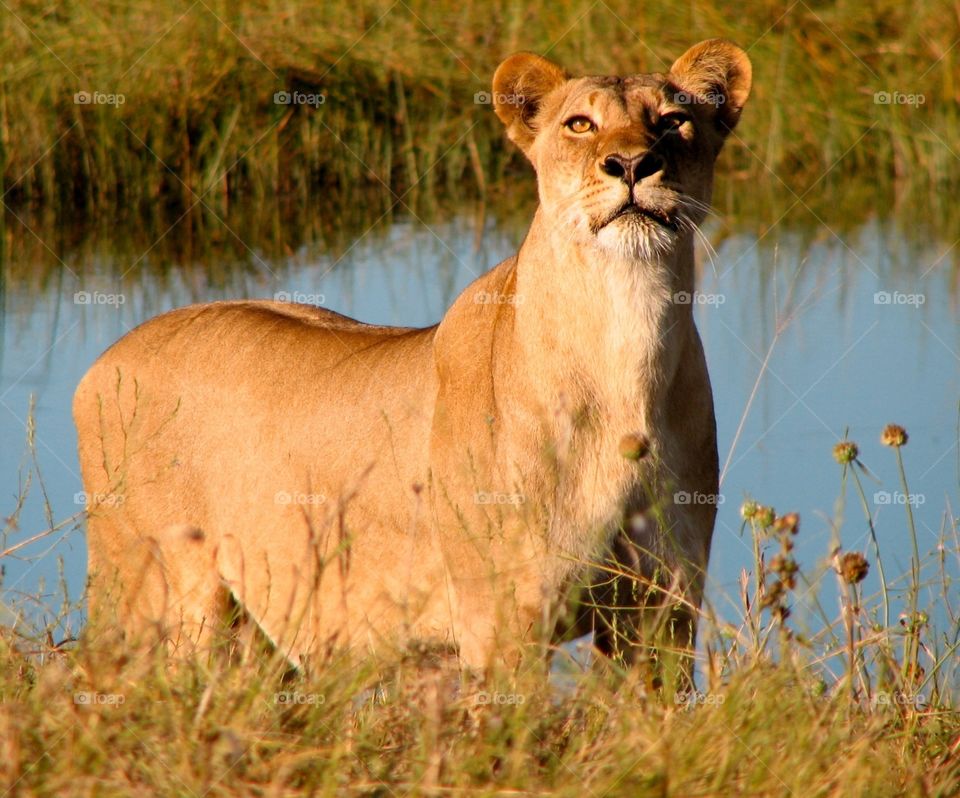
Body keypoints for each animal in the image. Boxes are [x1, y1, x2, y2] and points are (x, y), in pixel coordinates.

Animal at [74, 39, 751, 681]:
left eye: (673, 120)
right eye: (580, 125)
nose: (632, 164)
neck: (627, 339)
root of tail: (101, 362)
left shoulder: (662, 614)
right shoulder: (501, 624)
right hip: (160, 607)